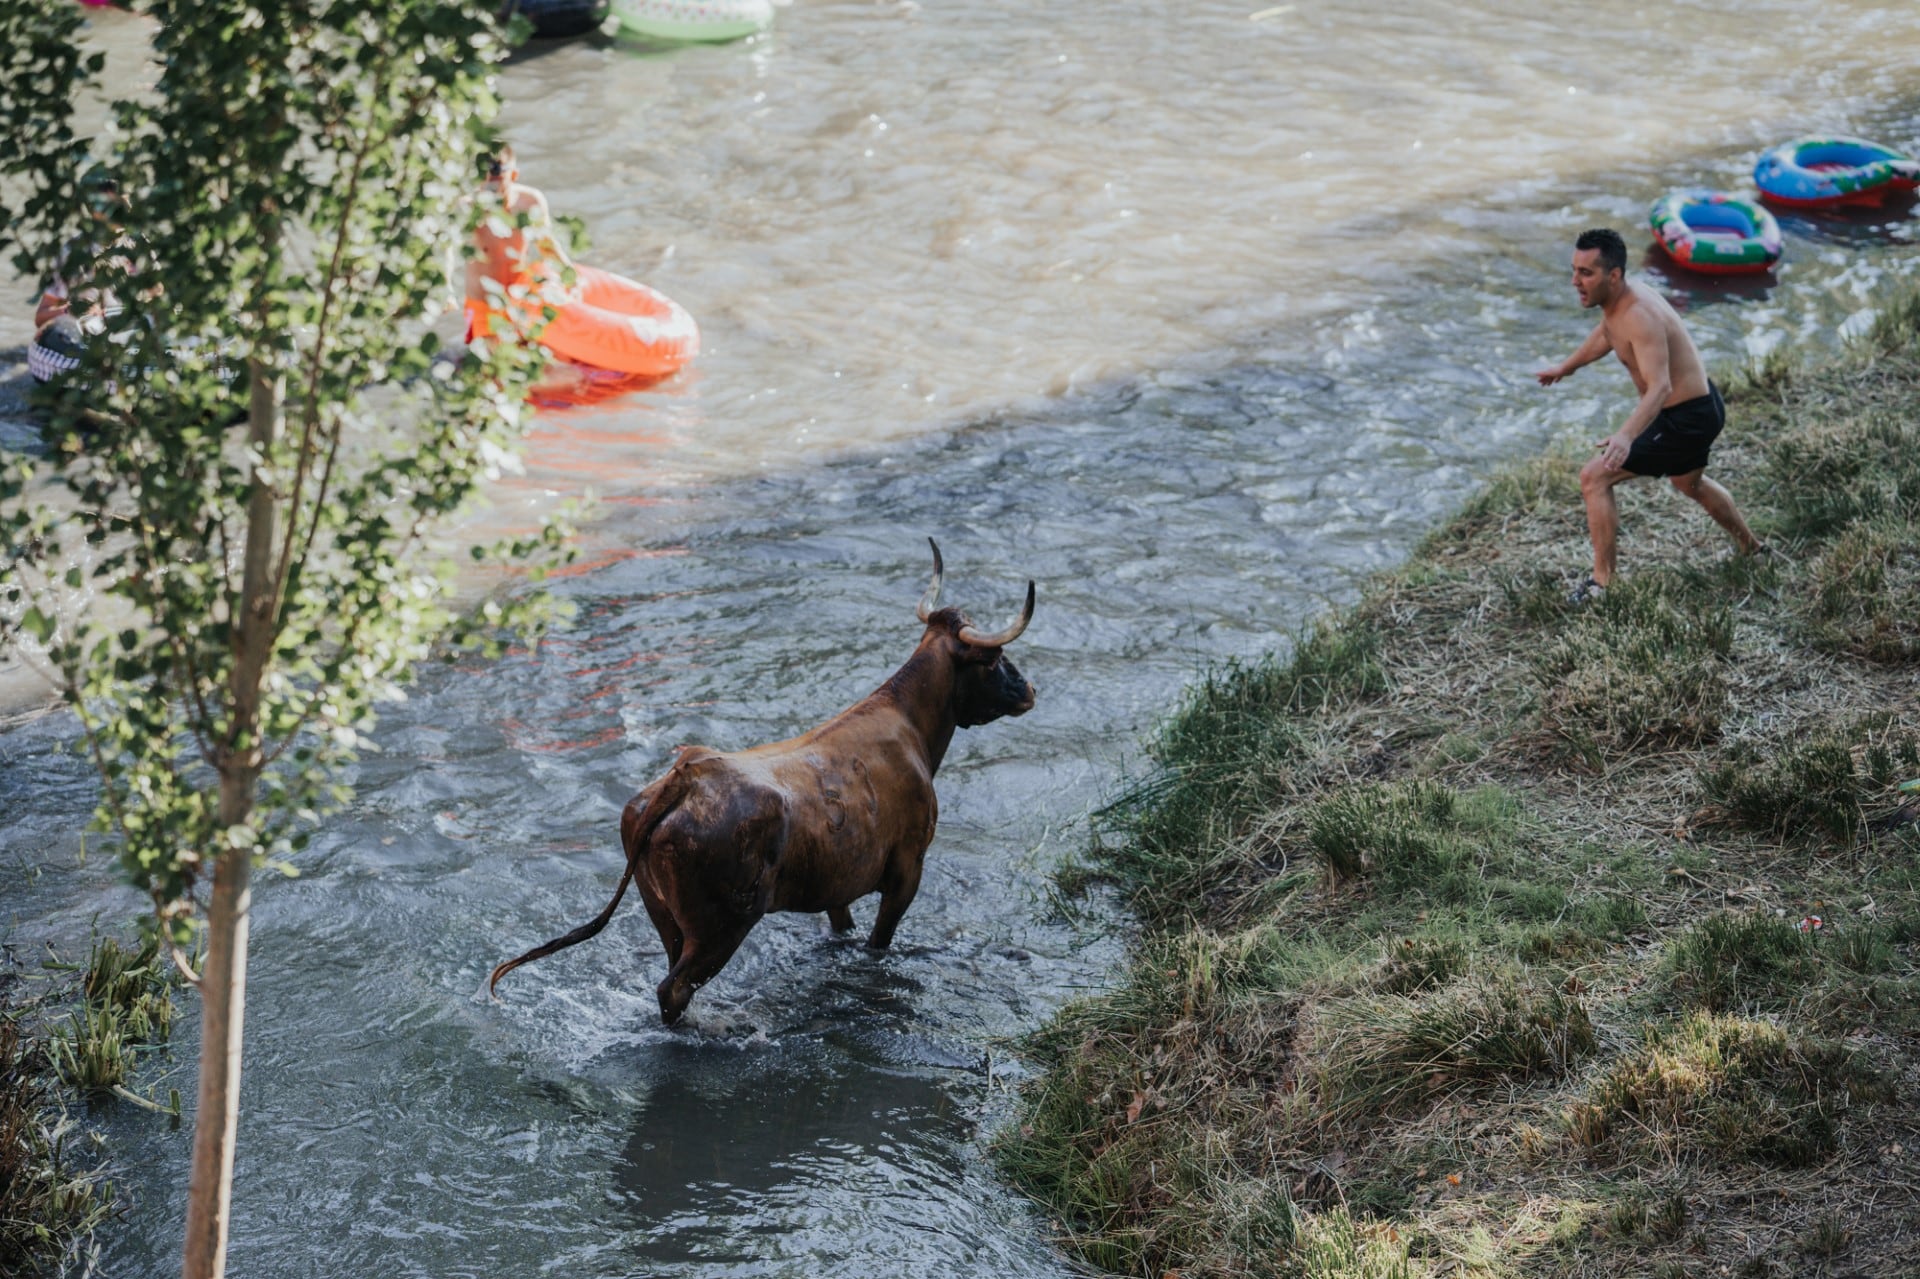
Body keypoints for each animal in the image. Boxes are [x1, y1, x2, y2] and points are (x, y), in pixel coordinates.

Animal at [491, 537, 1036, 1013]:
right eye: (994, 658)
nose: (1029, 690)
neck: (909, 726)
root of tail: (687, 774)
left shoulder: (837, 883)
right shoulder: (907, 868)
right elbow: (878, 942)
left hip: (667, 917)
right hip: (723, 925)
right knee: (674, 990)